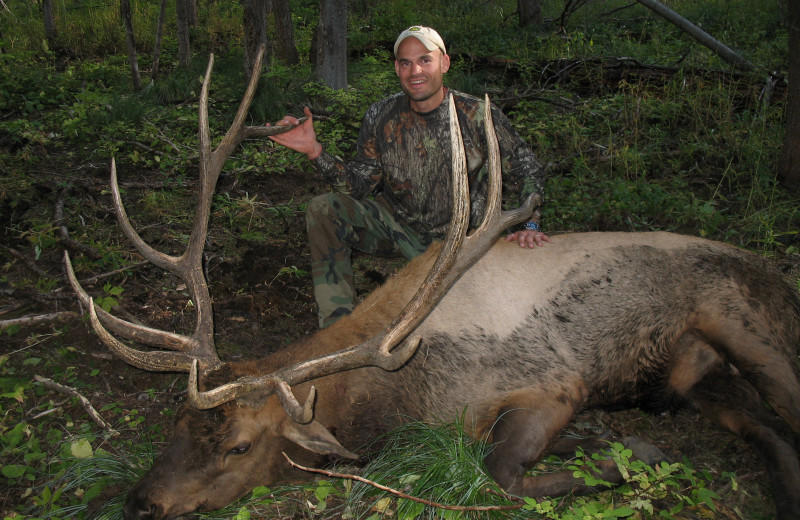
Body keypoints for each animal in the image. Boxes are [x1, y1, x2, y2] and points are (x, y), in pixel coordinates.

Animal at [67, 48, 800, 520]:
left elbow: (499, 476)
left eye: (240, 446)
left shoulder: (555, 383)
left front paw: (619, 461)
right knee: (766, 429)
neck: (400, 395)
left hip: (745, 325)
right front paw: (610, 449)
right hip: (696, 381)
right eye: (176, 421)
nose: (140, 503)